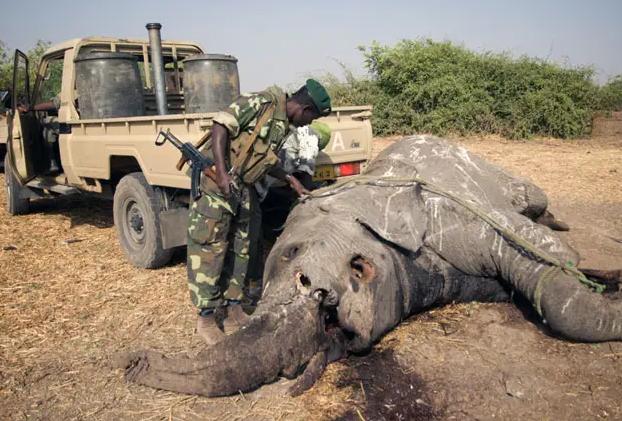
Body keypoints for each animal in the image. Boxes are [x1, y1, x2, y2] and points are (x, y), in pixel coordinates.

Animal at [118, 136, 622, 396]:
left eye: (291, 255)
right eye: (339, 336)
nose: (134, 361)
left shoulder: (450, 212)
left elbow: (549, 265)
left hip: (495, 173)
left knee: (533, 201)